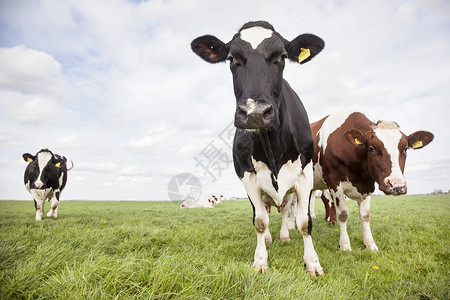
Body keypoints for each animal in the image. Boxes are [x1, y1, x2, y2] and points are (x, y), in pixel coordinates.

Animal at [192, 20, 326, 274]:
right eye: (231, 58)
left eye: (282, 56)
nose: (255, 112)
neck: (273, 148)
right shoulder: (248, 177)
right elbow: (260, 221)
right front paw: (261, 260)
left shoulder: (304, 175)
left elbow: (304, 222)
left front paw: (313, 262)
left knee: (285, 210)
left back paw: (284, 235)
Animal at [310, 110, 432, 251]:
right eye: (372, 148)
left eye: (406, 148)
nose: (397, 185)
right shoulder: (334, 182)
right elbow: (343, 214)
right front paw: (345, 245)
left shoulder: (367, 184)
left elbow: (365, 215)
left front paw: (370, 244)